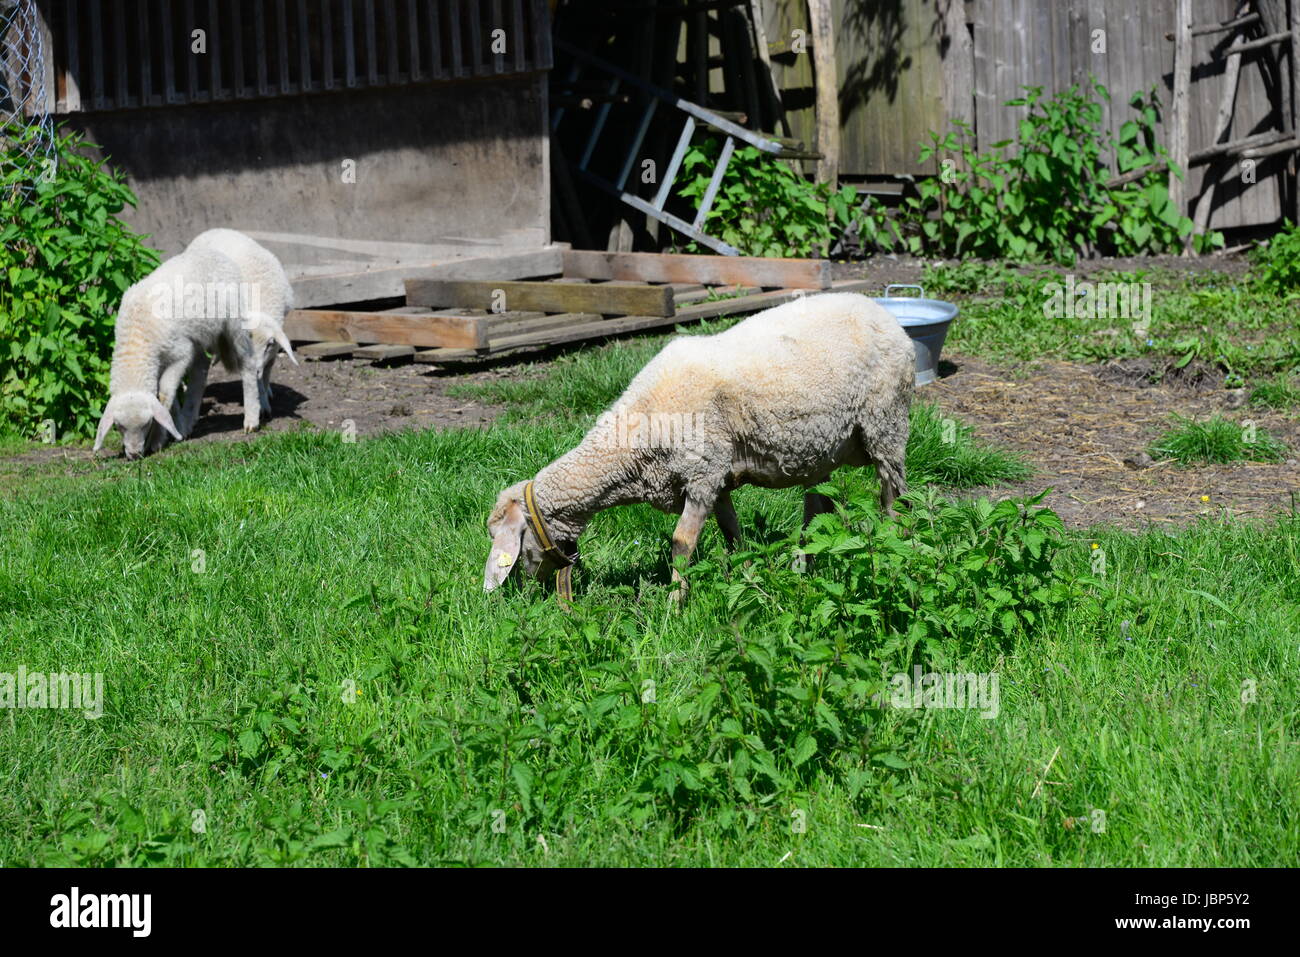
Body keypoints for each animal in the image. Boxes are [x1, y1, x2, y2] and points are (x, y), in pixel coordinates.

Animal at [93, 231, 296, 458]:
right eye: (118, 426)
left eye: (146, 424)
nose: (135, 455)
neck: (137, 338)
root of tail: (216, 250)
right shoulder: (161, 360)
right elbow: (169, 397)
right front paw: (177, 427)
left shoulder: (180, 353)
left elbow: (165, 394)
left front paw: (157, 440)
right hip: (201, 335)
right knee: (200, 371)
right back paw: (189, 420)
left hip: (235, 323)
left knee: (248, 365)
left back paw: (252, 418)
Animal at [483, 291, 916, 601]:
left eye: (514, 540)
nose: (530, 591)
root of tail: (883, 313)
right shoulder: (715, 477)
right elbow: (732, 534)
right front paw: (748, 579)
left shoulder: (702, 474)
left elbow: (681, 542)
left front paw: (675, 605)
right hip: (821, 452)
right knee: (817, 509)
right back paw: (803, 566)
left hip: (886, 423)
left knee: (894, 500)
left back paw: (894, 551)